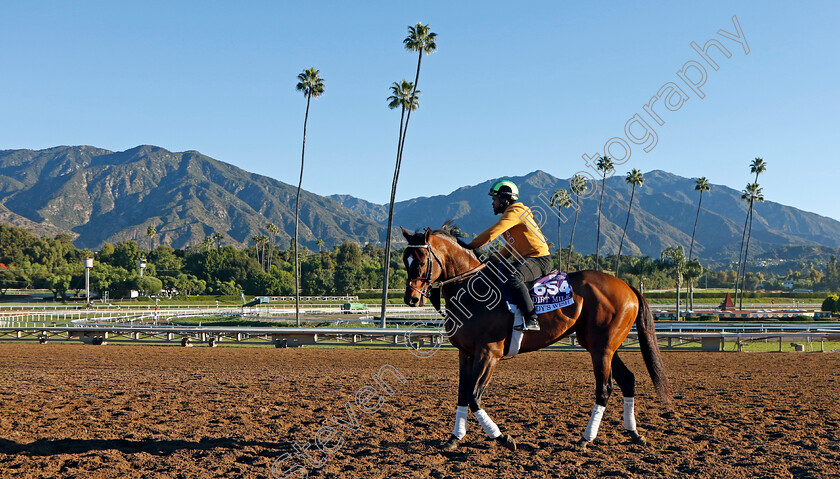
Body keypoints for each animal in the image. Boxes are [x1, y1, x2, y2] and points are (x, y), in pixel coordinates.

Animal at [402, 227, 676, 452]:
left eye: (422, 260)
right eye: (405, 260)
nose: (411, 299)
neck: (472, 290)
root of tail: (628, 287)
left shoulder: (489, 354)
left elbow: (473, 395)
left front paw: (502, 437)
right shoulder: (466, 353)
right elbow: (462, 394)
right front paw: (454, 438)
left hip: (602, 349)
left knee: (604, 388)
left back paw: (585, 439)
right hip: (604, 346)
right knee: (627, 380)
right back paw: (634, 433)